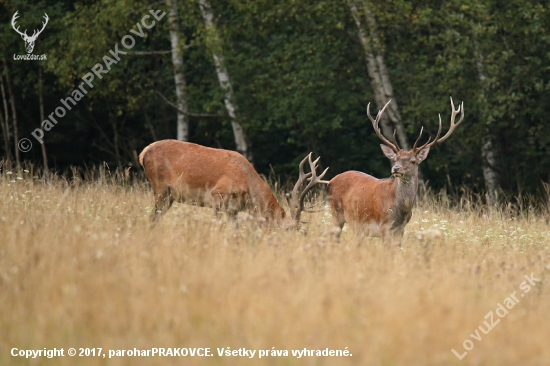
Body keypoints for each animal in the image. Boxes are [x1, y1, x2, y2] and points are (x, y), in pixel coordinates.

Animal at [140, 140, 328, 226]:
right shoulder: (217, 194)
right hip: (159, 187)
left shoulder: (234, 209)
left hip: (169, 196)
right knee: (152, 216)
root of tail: (143, 153)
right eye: (289, 229)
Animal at [328, 98, 466, 244]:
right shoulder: (383, 226)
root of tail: (330, 182)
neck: (400, 211)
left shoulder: (401, 229)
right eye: (395, 159)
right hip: (336, 212)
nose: (395, 168)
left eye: (413, 161)